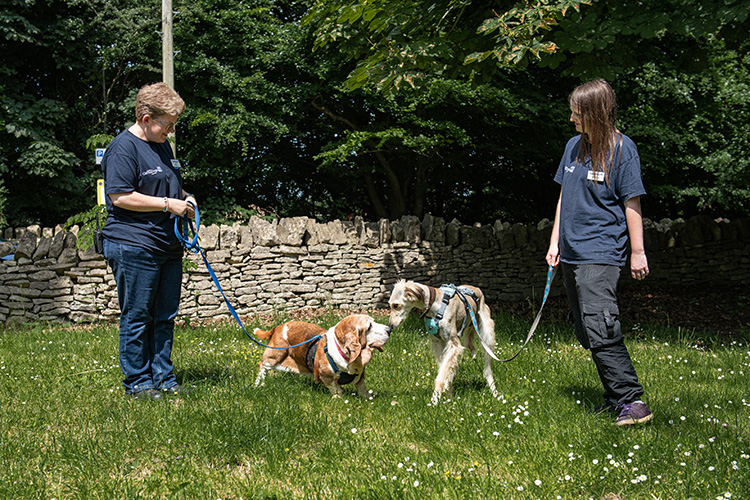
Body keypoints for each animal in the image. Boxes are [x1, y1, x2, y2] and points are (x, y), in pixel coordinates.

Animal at [254, 314, 394, 396]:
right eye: (369, 326)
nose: (389, 329)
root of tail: (279, 326)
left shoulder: (360, 377)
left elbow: (362, 389)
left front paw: (367, 398)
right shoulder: (327, 377)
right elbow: (336, 390)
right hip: (275, 355)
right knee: (262, 365)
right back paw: (258, 384)